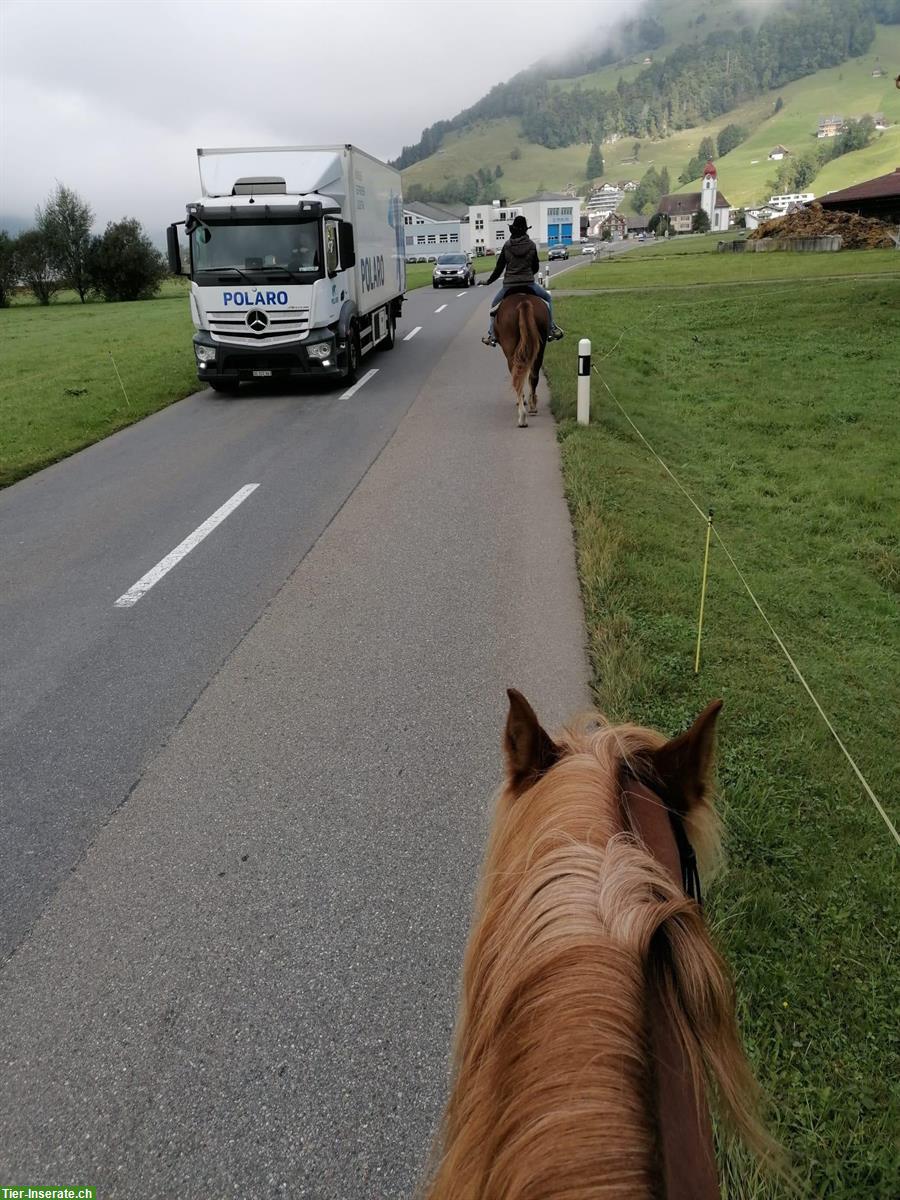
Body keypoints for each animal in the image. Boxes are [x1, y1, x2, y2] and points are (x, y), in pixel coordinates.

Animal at [494, 289, 549, 429]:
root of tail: (523, 302)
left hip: (510, 351)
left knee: (517, 378)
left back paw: (522, 417)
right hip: (540, 347)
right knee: (533, 375)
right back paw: (533, 407)